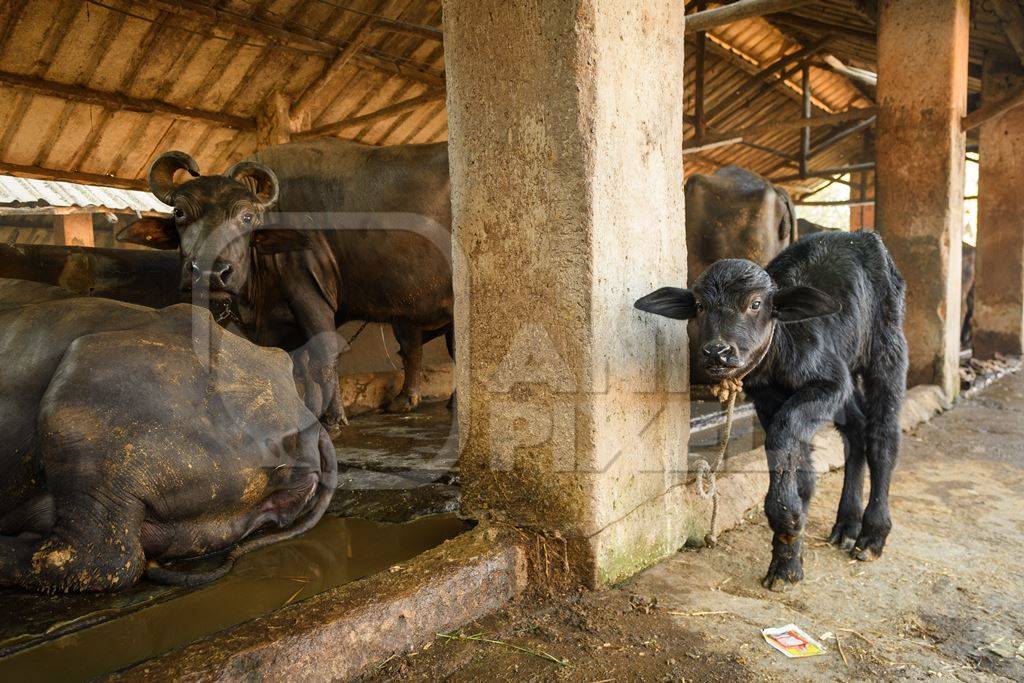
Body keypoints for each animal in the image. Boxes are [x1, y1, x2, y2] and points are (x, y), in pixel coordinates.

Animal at [118, 140, 452, 432]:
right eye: (179, 213)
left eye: (247, 217)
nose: (211, 272)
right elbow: (298, 364)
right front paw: (308, 413)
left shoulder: (309, 293)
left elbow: (323, 358)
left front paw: (332, 419)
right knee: (413, 348)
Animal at [634, 232, 909, 589]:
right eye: (700, 306)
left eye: (755, 304)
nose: (717, 352)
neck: (783, 347)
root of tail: (858, 235)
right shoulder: (767, 396)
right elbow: (792, 457)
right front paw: (789, 553)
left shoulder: (830, 384)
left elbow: (783, 435)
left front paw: (787, 520)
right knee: (857, 429)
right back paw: (847, 525)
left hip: (887, 348)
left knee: (882, 436)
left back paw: (872, 535)